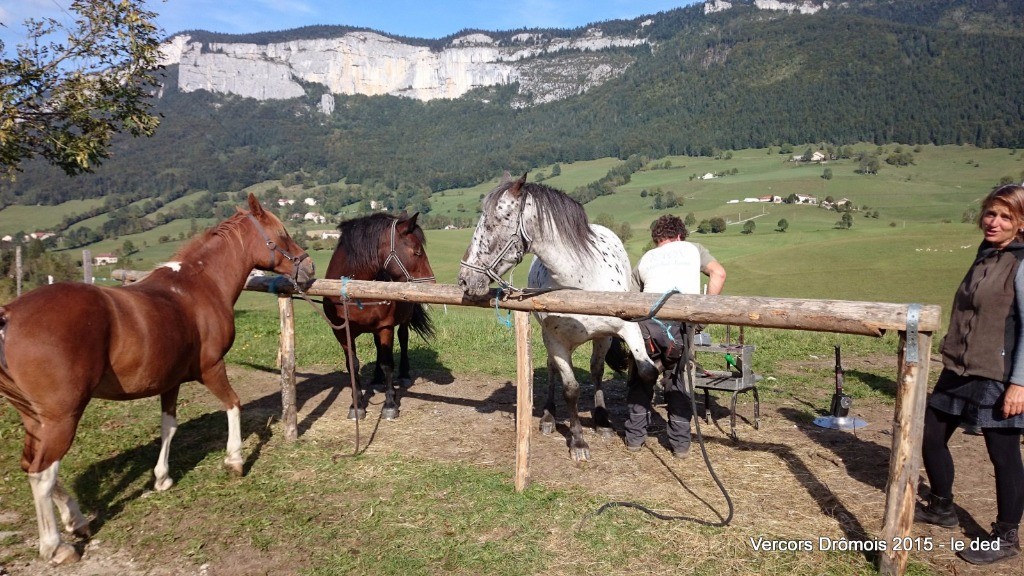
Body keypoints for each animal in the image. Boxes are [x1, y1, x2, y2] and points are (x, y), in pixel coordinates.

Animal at [0, 192, 315, 561]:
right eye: (281, 234)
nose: (309, 269)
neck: (200, 286)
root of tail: (9, 315)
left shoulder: (170, 381)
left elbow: (169, 427)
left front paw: (162, 479)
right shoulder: (211, 368)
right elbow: (234, 405)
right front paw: (235, 461)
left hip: (36, 418)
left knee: (32, 465)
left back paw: (76, 521)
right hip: (62, 415)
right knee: (42, 473)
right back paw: (56, 546)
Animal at [323, 213, 436, 420]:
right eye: (417, 252)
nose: (431, 285)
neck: (357, 290)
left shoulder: (385, 328)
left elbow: (387, 363)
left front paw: (390, 404)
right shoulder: (342, 333)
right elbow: (352, 365)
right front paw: (357, 405)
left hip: (402, 321)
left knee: (403, 339)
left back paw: (404, 375)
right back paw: (376, 380)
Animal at [456, 172, 655, 459]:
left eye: (494, 222)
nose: (464, 279)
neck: (579, 283)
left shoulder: (620, 330)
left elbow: (645, 371)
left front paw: (630, 420)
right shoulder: (556, 341)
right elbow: (570, 389)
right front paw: (578, 441)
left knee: (596, 370)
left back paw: (601, 419)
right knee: (552, 369)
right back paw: (549, 417)